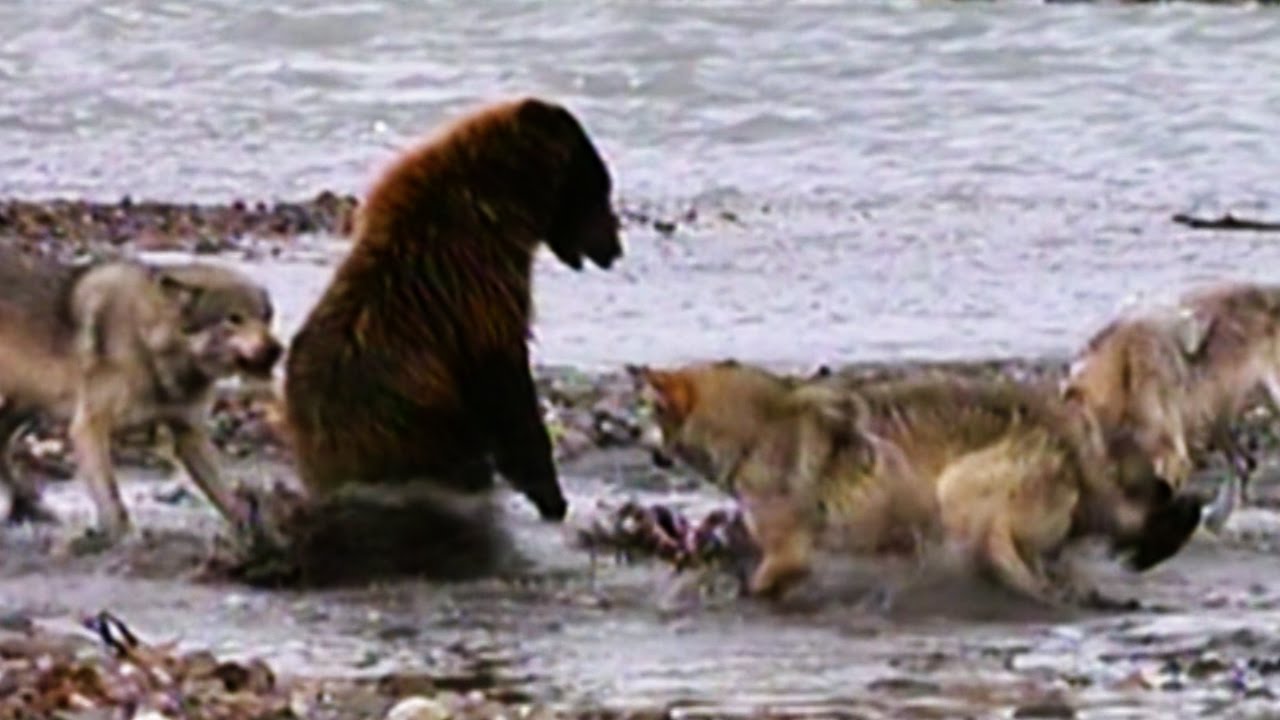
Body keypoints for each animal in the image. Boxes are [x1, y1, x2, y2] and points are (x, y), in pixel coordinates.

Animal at [0, 248, 281, 543]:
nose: (276, 350)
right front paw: (124, 536)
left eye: (266, 317)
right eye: (234, 318)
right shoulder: (89, 426)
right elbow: (110, 495)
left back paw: (26, 506)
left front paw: (256, 536)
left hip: (30, 408)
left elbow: (226, 496)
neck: (149, 344)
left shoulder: (189, 432)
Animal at [634, 358, 1203, 604]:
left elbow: (759, 583)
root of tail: (1062, 430)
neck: (757, 427)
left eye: (650, 415)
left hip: (959, 494)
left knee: (1006, 559)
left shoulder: (787, 552)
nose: (641, 443)